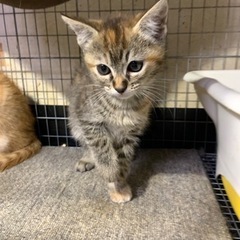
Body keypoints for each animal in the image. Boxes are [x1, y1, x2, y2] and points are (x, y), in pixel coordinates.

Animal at [61, 0, 168, 202]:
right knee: (86, 143)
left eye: (135, 66)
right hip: (75, 122)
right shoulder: (88, 120)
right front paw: (111, 175)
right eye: (103, 69)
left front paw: (120, 182)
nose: (120, 87)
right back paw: (87, 158)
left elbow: (123, 157)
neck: (121, 107)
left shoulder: (131, 130)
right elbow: (101, 149)